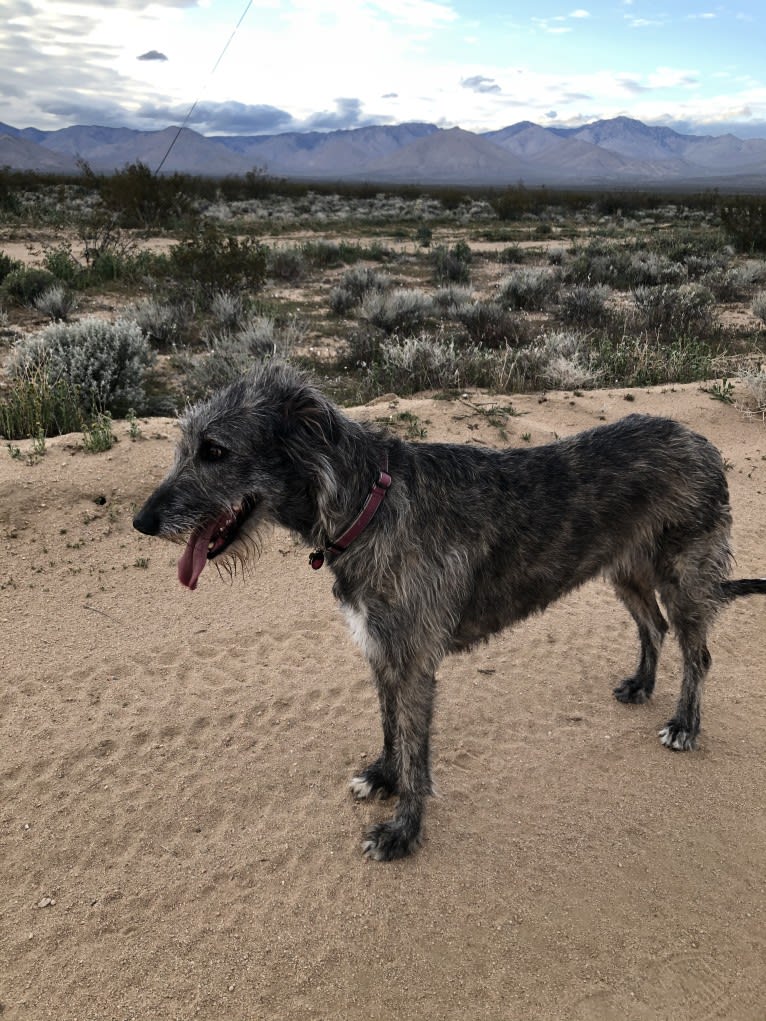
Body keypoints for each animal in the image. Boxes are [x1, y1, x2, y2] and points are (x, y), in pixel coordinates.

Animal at [133, 363, 766, 857]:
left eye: (216, 451)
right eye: (183, 448)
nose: (142, 522)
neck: (366, 505)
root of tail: (701, 441)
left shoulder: (413, 659)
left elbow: (417, 749)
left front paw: (402, 831)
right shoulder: (382, 649)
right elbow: (391, 727)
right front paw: (383, 776)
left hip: (684, 574)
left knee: (698, 653)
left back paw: (685, 724)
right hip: (625, 570)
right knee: (652, 625)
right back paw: (641, 684)